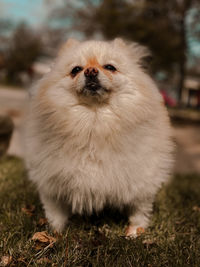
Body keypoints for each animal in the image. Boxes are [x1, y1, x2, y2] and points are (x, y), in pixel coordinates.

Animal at [25, 38, 174, 238]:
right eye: (76, 69)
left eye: (110, 67)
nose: (91, 71)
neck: (94, 121)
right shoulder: (52, 180)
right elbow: (55, 211)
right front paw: (55, 233)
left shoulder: (141, 177)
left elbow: (139, 210)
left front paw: (135, 232)